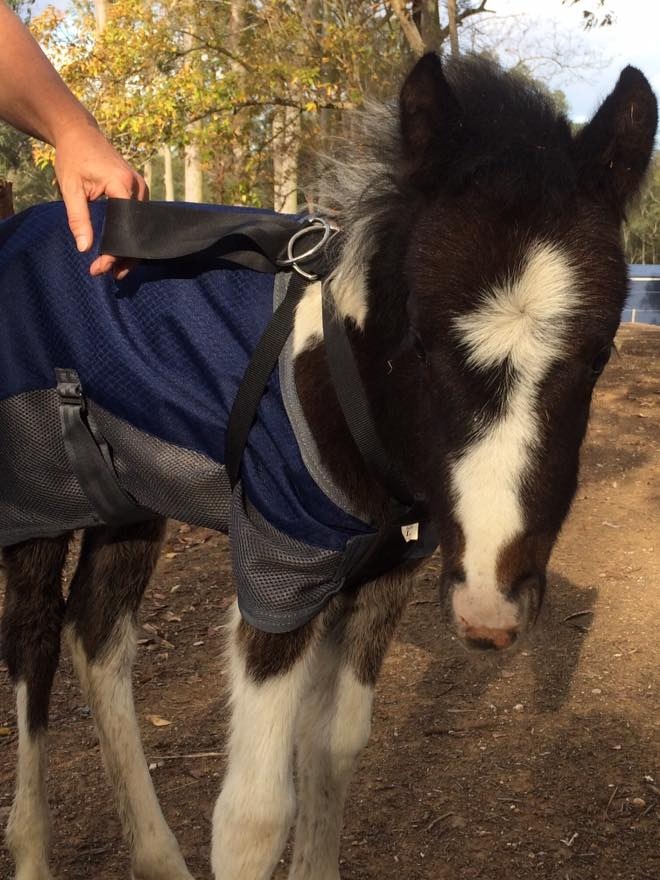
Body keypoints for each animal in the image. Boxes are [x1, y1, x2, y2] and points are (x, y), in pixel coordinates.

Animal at [2, 55, 656, 880]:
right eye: (419, 340)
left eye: (599, 354)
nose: (488, 611)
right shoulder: (278, 573)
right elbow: (251, 815)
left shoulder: (380, 576)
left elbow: (335, 747)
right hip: (36, 500)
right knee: (33, 643)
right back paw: (32, 851)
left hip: (128, 497)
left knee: (98, 638)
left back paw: (157, 857)